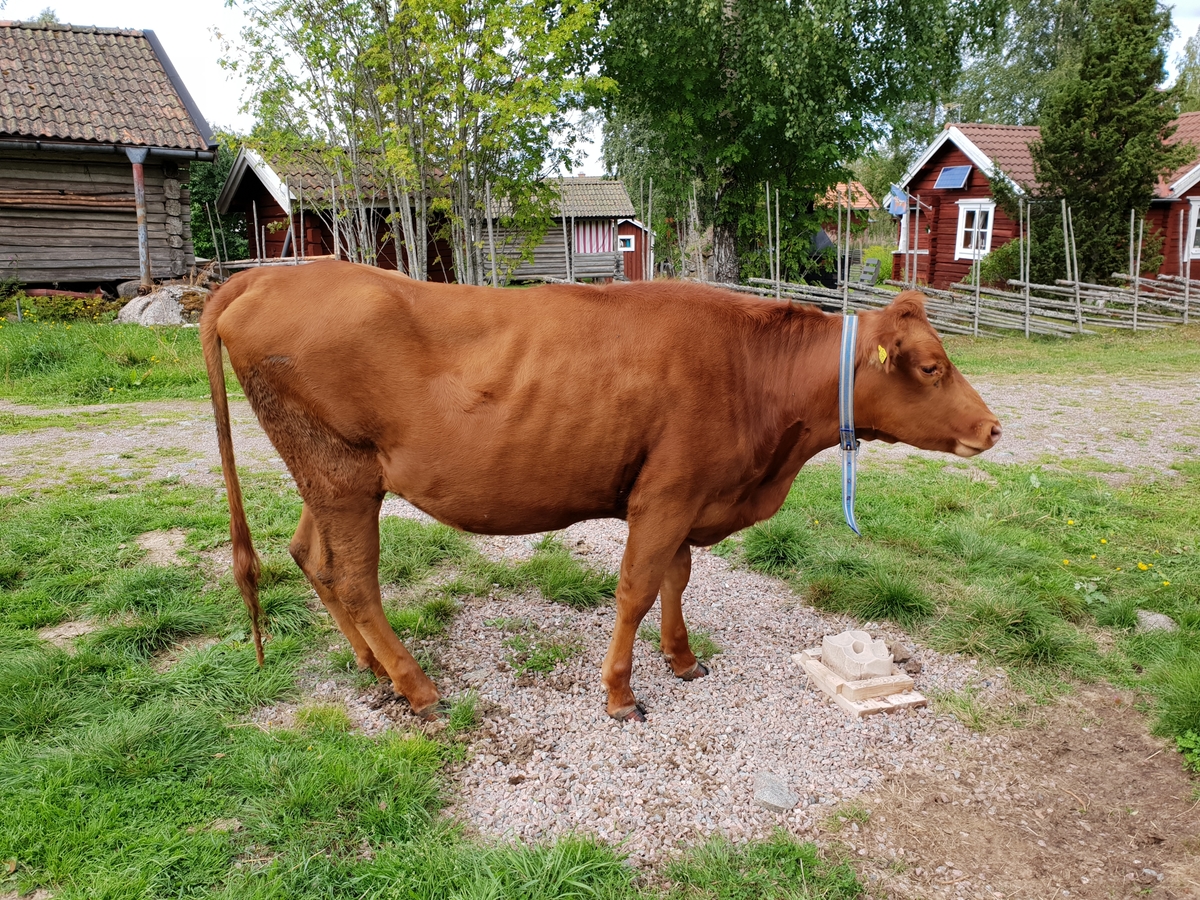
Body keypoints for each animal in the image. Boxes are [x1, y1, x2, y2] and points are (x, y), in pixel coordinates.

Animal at [201, 260, 1000, 722]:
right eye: (932, 367)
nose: (992, 428)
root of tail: (269, 274)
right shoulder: (666, 495)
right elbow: (637, 589)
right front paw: (620, 693)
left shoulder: (689, 497)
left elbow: (677, 578)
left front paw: (682, 660)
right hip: (340, 473)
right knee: (356, 578)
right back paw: (418, 687)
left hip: (331, 474)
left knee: (310, 557)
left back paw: (373, 667)